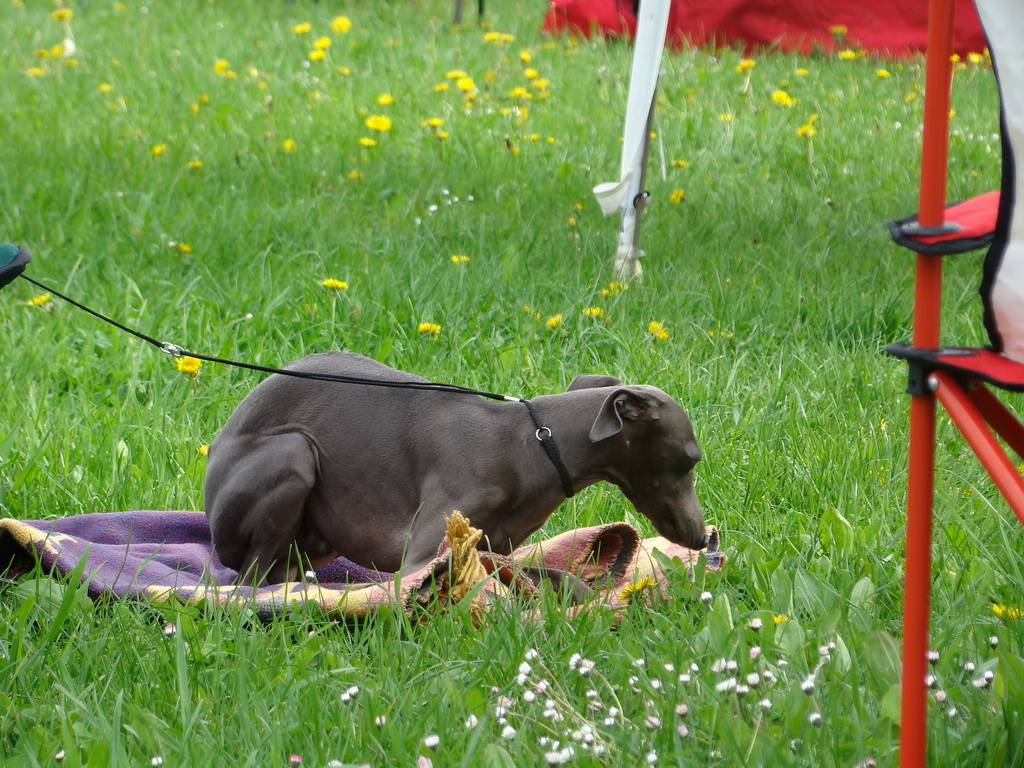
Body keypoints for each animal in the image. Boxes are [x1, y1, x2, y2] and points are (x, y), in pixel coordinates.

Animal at [203, 354, 708, 581]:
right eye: (691, 459)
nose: (703, 539)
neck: (532, 444)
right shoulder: (421, 556)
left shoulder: (496, 550)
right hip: (295, 452)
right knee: (248, 581)